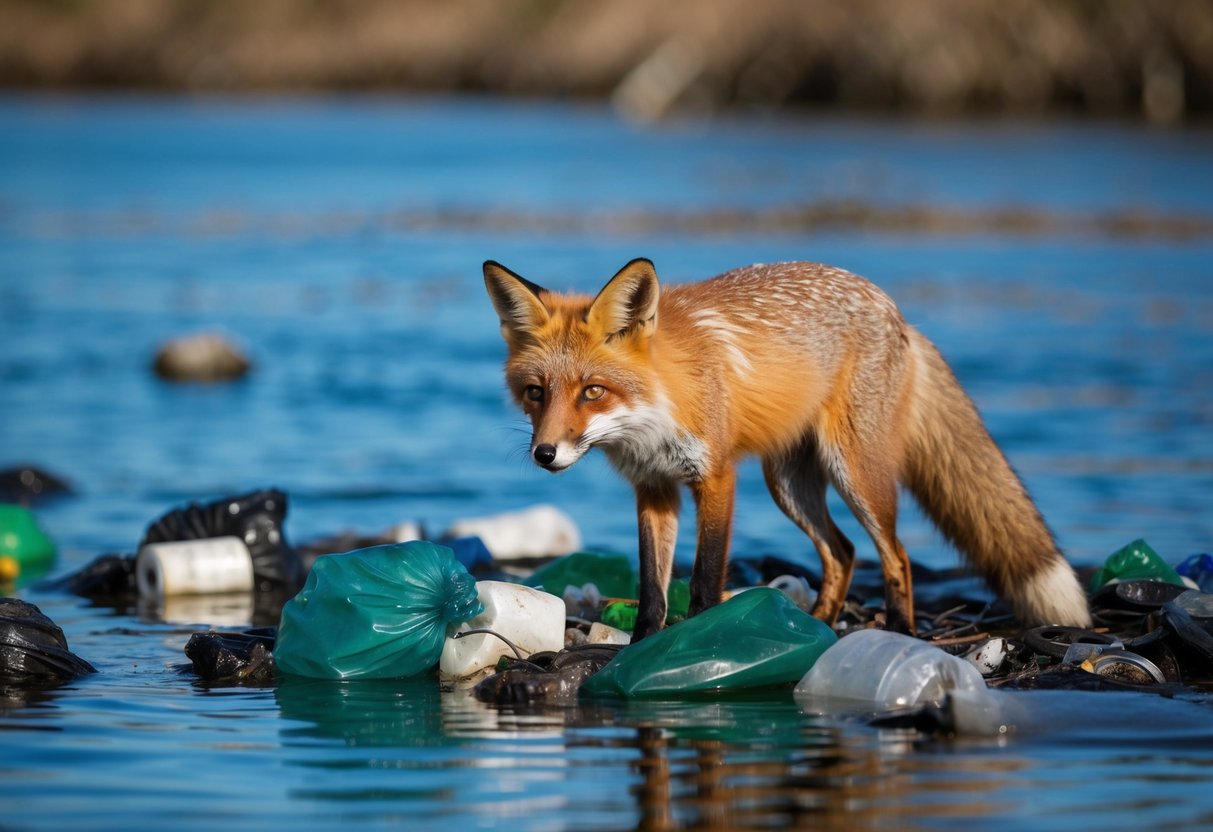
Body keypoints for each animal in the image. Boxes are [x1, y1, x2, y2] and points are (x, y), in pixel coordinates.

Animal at [483, 258, 1092, 640]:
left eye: (592, 391)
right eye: (536, 393)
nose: (545, 454)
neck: (656, 409)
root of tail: (898, 313)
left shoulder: (716, 477)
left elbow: (703, 580)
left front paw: (699, 639)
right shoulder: (653, 489)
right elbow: (652, 590)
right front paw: (641, 647)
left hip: (856, 475)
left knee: (894, 556)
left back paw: (901, 630)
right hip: (790, 485)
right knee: (843, 552)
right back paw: (817, 623)